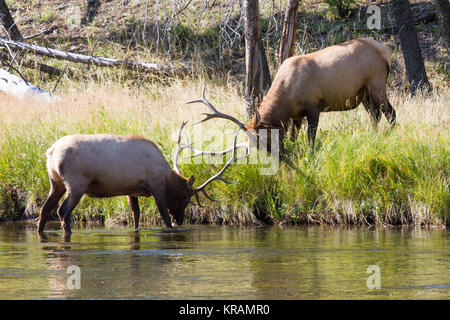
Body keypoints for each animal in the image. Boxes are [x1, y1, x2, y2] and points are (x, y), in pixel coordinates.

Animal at [37, 121, 241, 234]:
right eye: (186, 198)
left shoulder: (131, 190)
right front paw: (171, 226)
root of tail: (51, 151)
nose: (180, 220)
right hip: (76, 183)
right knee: (62, 211)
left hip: (55, 182)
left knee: (44, 209)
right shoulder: (156, 186)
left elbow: (136, 214)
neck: (168, 180)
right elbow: (163, 215)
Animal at [186, 37, 398, 151]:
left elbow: (311, 136)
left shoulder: (314, 106)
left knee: (390, 112)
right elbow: (293, 137)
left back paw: (390, 136)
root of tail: (386, 51)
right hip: (364, 94)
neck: (286, 100)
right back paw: (372, 135)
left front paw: (310, 152)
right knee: (375, 115)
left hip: (376, 85)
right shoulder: (296, 116)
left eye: (262, 140)